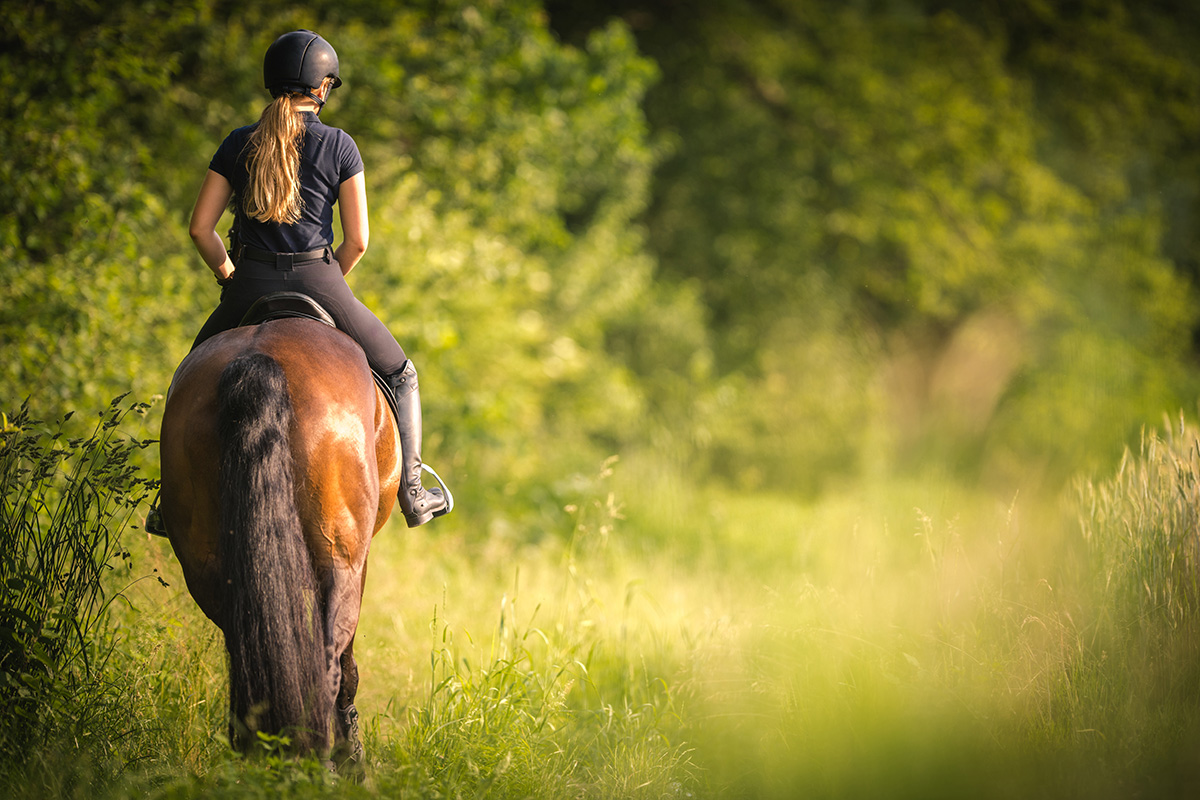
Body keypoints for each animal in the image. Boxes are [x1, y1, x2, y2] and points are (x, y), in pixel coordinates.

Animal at [157, 309, 403, 767]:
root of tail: (257, 358)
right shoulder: (358, 563)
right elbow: (347, 665)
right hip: (339, 555)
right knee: (328, 665)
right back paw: (325, 760)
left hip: (206, 565)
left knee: (245, 651)